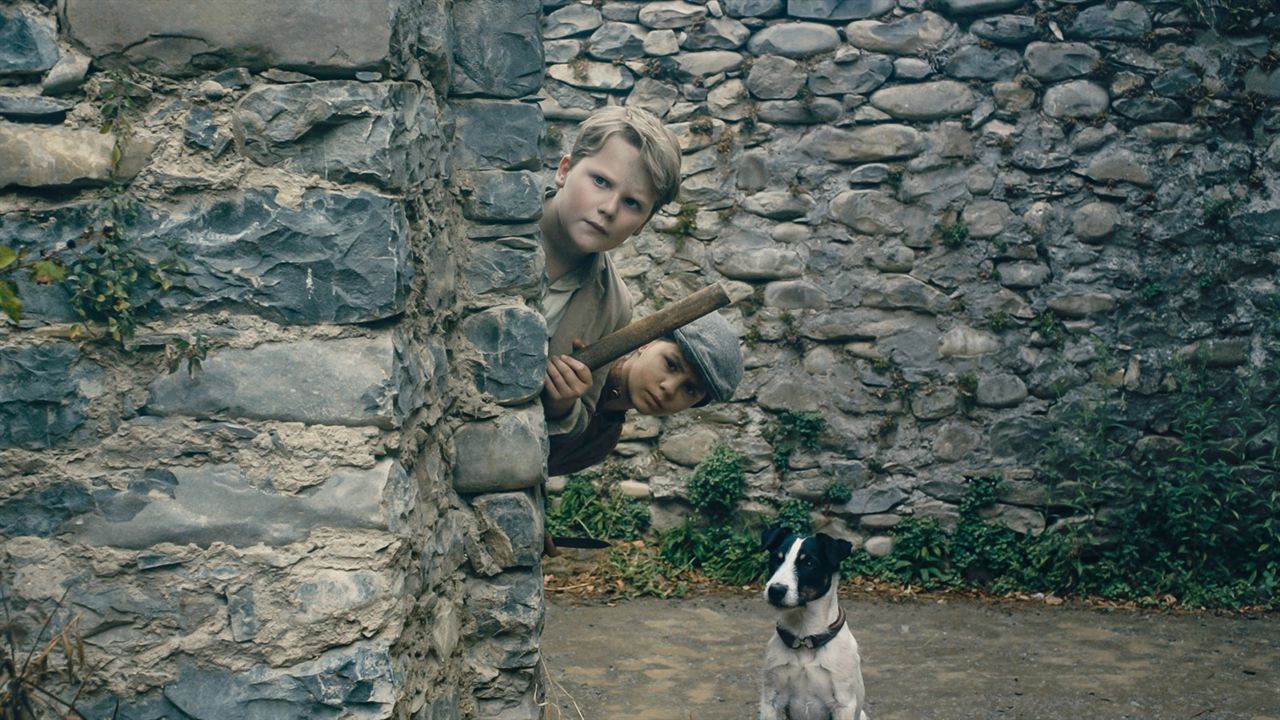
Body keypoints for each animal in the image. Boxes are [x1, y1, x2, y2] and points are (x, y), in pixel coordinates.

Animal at [757, 520, 870, 717]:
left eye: (809, 563)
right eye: (777, 558)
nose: (775, 590)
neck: (804, 637)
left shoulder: (843, 704)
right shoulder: (771, 701)